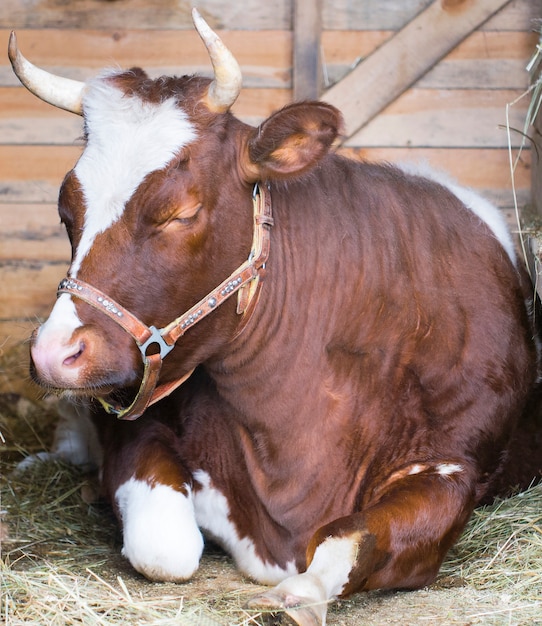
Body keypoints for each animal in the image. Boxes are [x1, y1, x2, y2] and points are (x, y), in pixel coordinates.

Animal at [7, 11, 542, 624]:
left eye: (180, 212)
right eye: (65, 210)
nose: (55, 352)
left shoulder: (456, 467)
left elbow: (351, 538)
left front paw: (300, 594)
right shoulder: (138, 426)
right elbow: (167, 545)